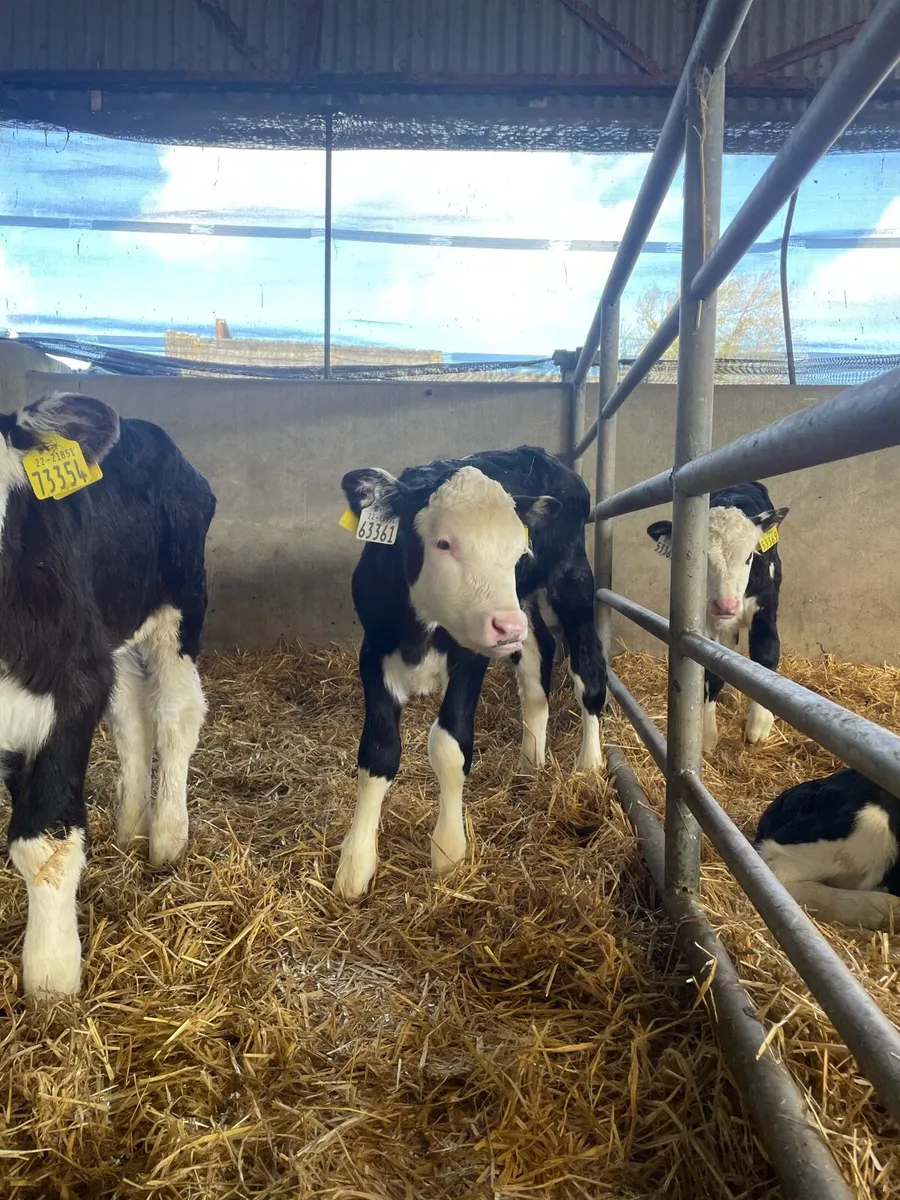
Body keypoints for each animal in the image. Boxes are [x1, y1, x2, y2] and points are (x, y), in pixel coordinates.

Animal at [1, 392, 215, 997]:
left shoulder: (71, 685)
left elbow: (44, 839)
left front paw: (51, 976)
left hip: (181, 601)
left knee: (176, 713)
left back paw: (165, 836)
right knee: (131, 719)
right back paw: (129, 824)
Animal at [334, 445, 608, 902]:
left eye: (518, 550)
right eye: (443, 543)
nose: (506, 626)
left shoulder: (470, 657)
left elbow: (450, 746)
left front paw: (448, 851)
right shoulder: (372, 651)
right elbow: (378, 752)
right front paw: (355, 865)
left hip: (572, 584)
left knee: (589, 671)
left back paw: (589, 764)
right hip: (523, 605)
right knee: (537, 667)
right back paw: (531, 760)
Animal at [646, 481, 788, 754]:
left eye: (749, 556)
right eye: (702, 559)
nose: (726, 605)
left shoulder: (766, 608)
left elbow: (766, 653)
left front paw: (759, 724)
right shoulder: (706, 623)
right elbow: (712, 673)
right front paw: (707, 733)